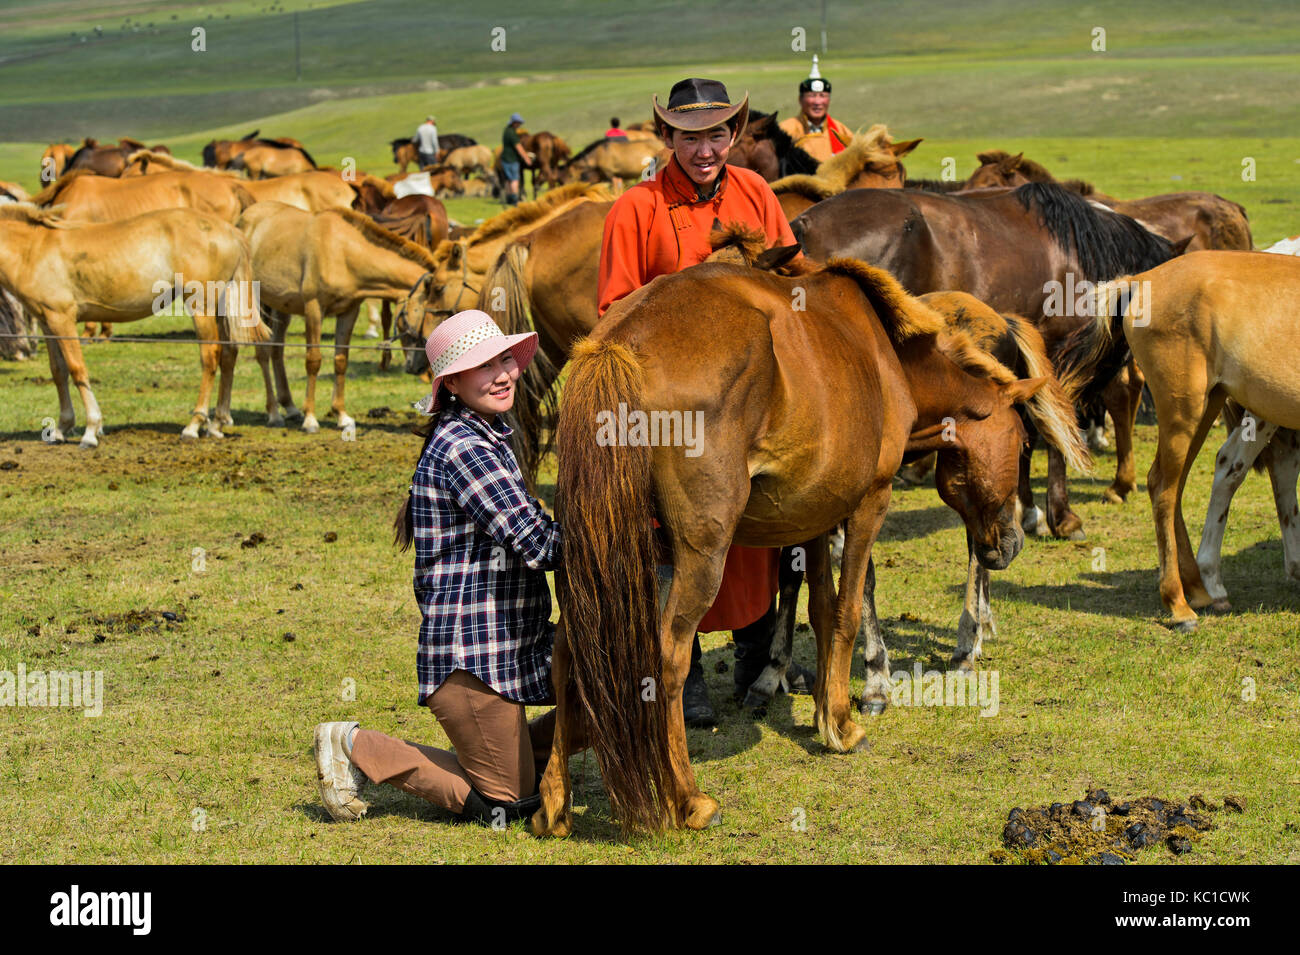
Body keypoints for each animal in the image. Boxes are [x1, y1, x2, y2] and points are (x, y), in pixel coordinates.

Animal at [0, 205, 267, 444]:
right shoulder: (48, 323)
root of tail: (230, 230)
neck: (32, 250)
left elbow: (77, 369)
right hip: (220, 308)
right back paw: (217, 424)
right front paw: (62, 427)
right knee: (229, 355)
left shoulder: (62, 319)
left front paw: (91, 429)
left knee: (211, 357)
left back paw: (193, 426)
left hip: (201, 307)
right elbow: (58, 371)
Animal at [530, 259, 1045, 836]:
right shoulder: (870, 500)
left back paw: (554, 802)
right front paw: (843, 723)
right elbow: (847, 610)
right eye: (1025, 442)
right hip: (700, 557)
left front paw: (822, 704)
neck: (886, 355)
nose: (1012, 543)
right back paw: (688, 798)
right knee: (667, 659)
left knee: (567, 649)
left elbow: (819, 607)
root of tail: (619, 344)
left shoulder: (815, 513)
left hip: (592, 553)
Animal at [790, 178, 1180, 537]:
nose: (1122, 486)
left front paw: (1029, 508)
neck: (1076, 252)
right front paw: (1060, 515)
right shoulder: (1053, 353)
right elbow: (1051, 430)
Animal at [1092, 250, 1300, 631]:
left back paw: (1200, 591)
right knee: (1163, 487)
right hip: (1182, 412)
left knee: (1172, 486)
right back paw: (1178, 604)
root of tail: (1139, 281)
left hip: (1206, 407)